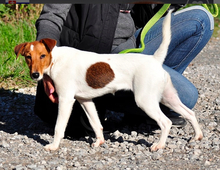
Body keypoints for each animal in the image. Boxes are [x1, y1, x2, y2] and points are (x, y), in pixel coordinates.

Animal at [14, 10, 203, 151]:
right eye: (28, 57)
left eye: (42, 55)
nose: (35, 75)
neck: (56, 59)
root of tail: (155, 59)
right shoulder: (85, 100)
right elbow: (96, 123)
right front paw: (99, 141)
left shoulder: (66, 100)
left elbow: (59, 126)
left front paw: (53, 146)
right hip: (168, 97)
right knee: (190, 113)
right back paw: (197, 136)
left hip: (145, 100)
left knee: (166, 122)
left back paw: (159, 145)